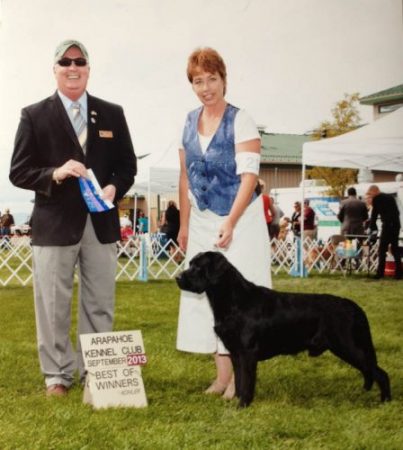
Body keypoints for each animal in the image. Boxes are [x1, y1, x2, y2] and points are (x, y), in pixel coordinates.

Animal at [176, 251, 392, 406]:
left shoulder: (247, 353)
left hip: (348, 345)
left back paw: (385, 402)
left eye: (198, 267)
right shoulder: (236, 353)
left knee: (380, 373)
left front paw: (242, 405)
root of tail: (353, 306)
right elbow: (238, 381)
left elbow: (246, 383)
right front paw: (235, 402)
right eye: (190, 264)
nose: (178, 278)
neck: (234, 301)